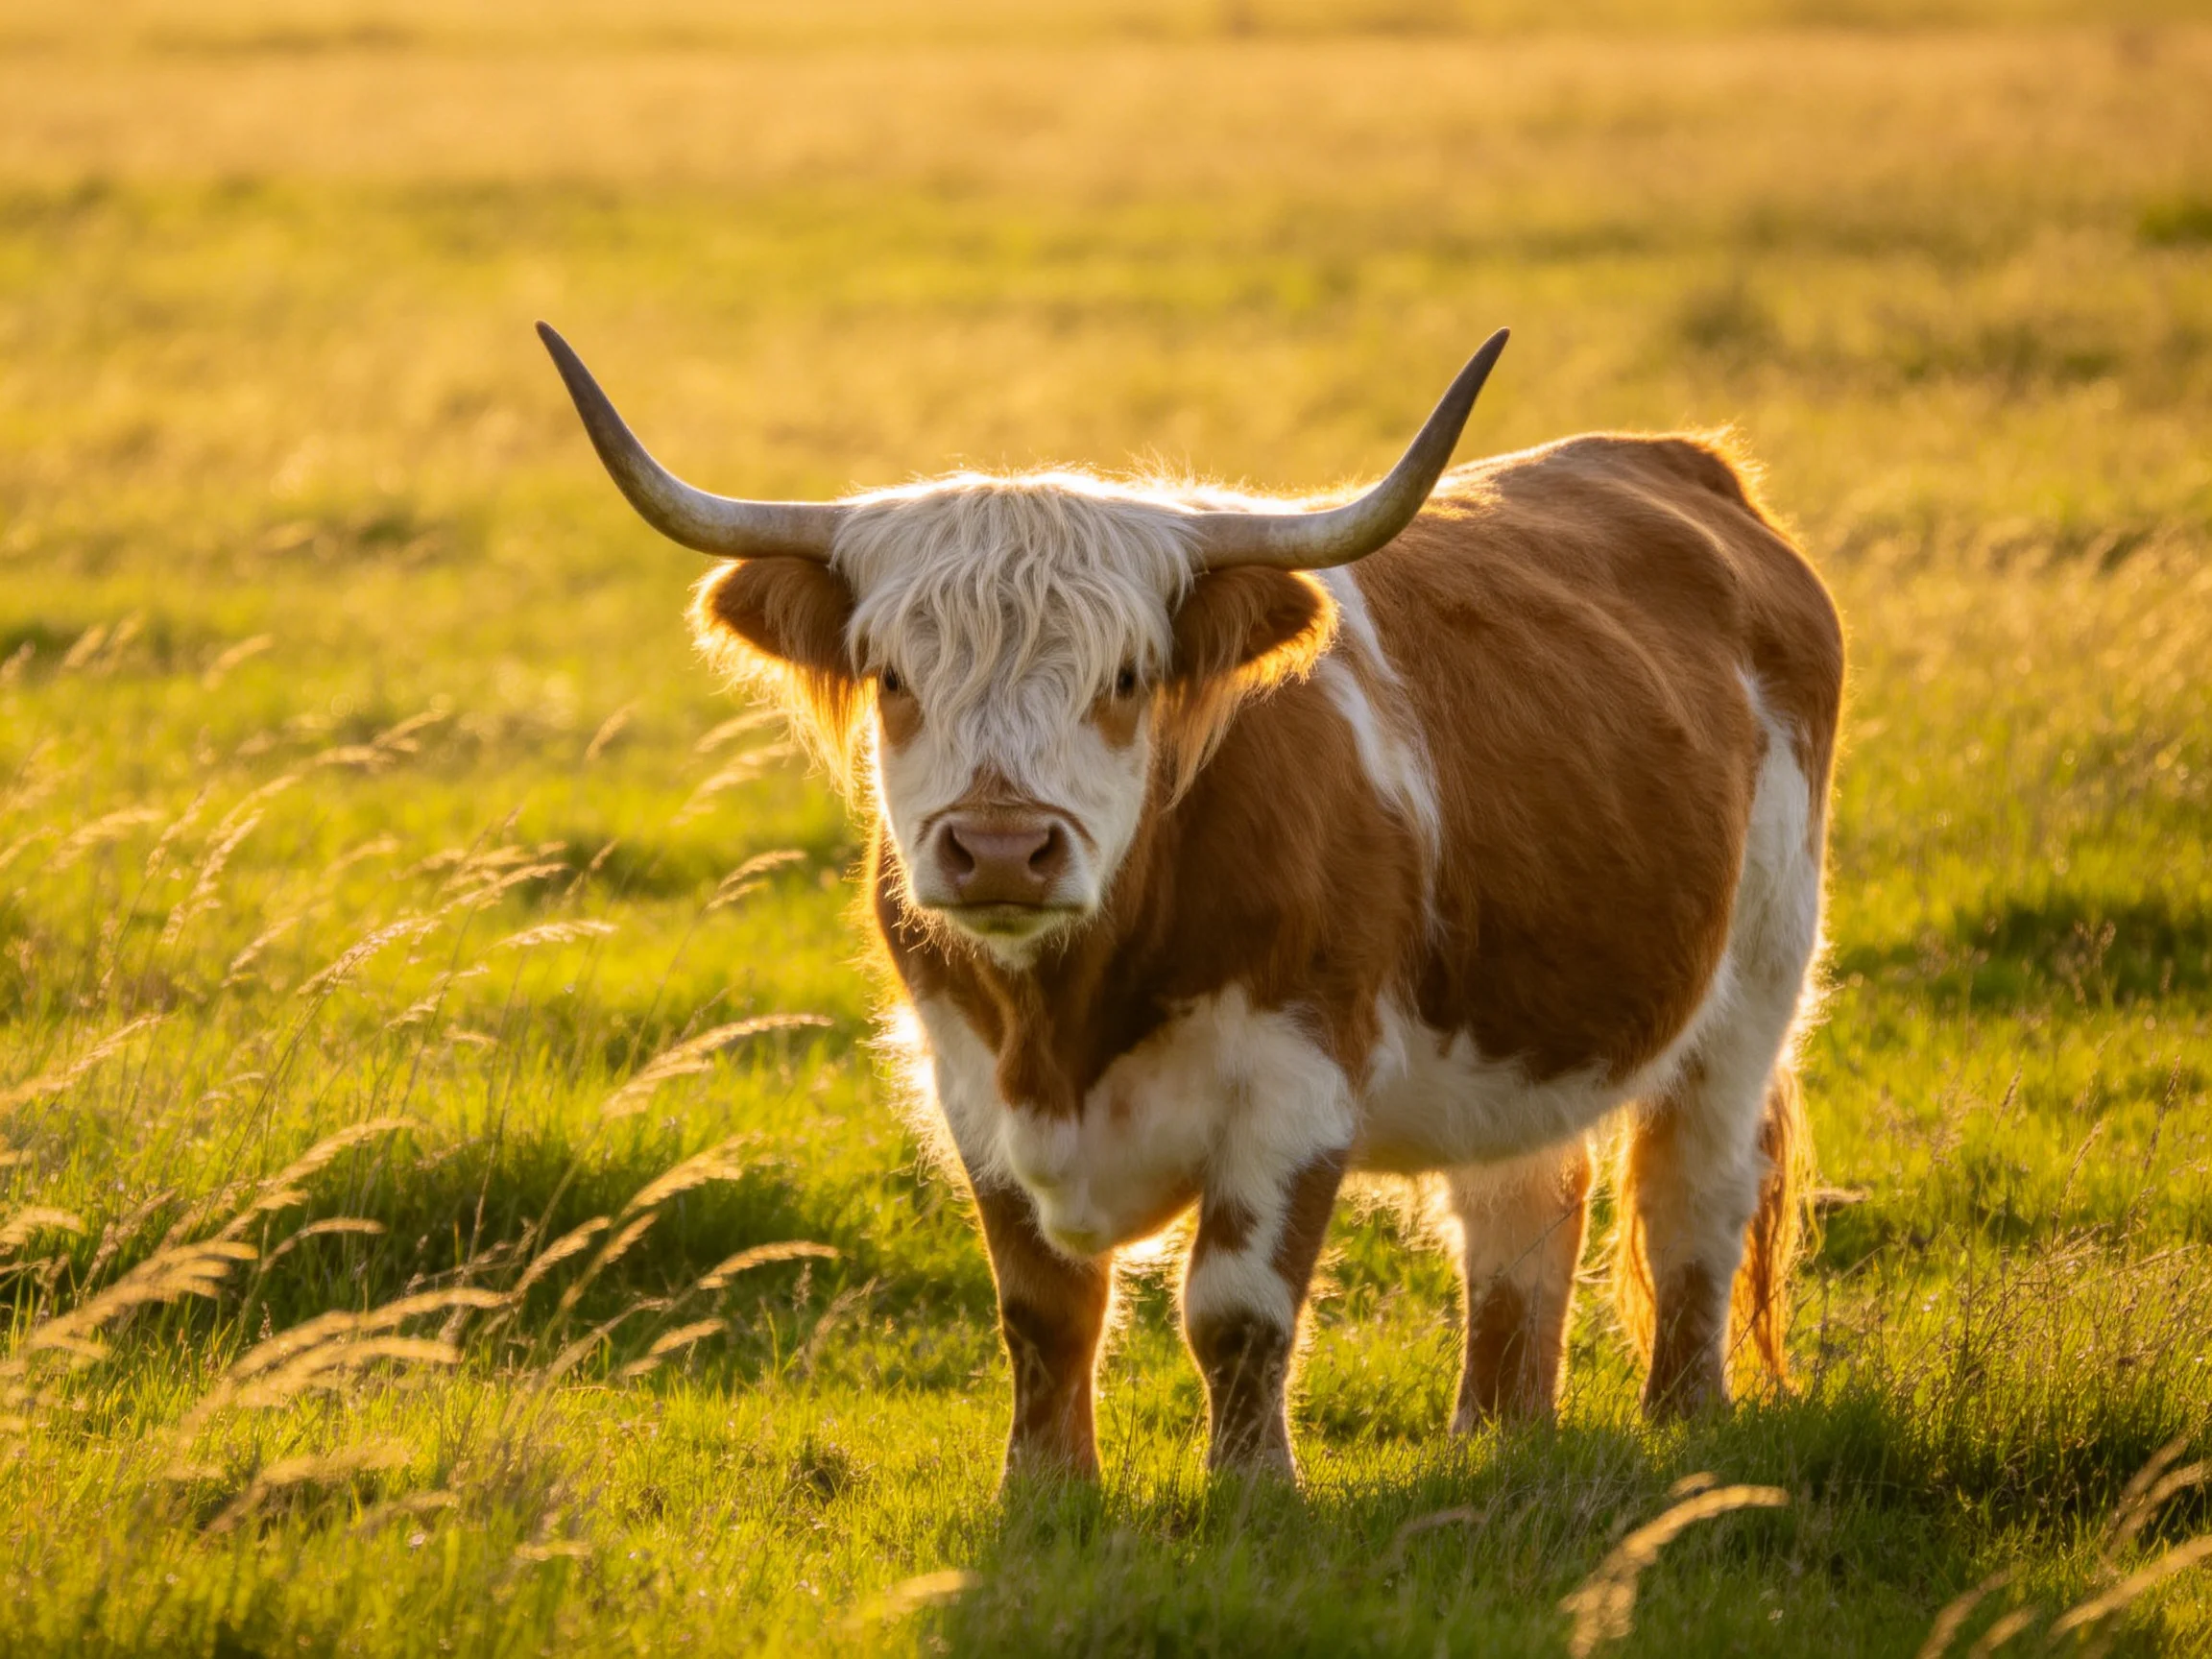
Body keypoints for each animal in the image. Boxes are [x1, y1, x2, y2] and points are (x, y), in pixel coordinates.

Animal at [538, 321, 1844, 1480]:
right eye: (895, 677)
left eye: (1126, 677)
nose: (1001, 851)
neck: (1066, 1026)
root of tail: (1679, 461)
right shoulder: (968, 1082)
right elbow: (1044, 1311)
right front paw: (1045, 1493)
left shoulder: (1297, 1081)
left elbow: (1236, 1310)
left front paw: (1255, 1491)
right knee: (1523, 1211)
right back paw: (1494, 1442)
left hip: (1752, 988)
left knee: (1691, 1198)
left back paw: (1685, 1425)